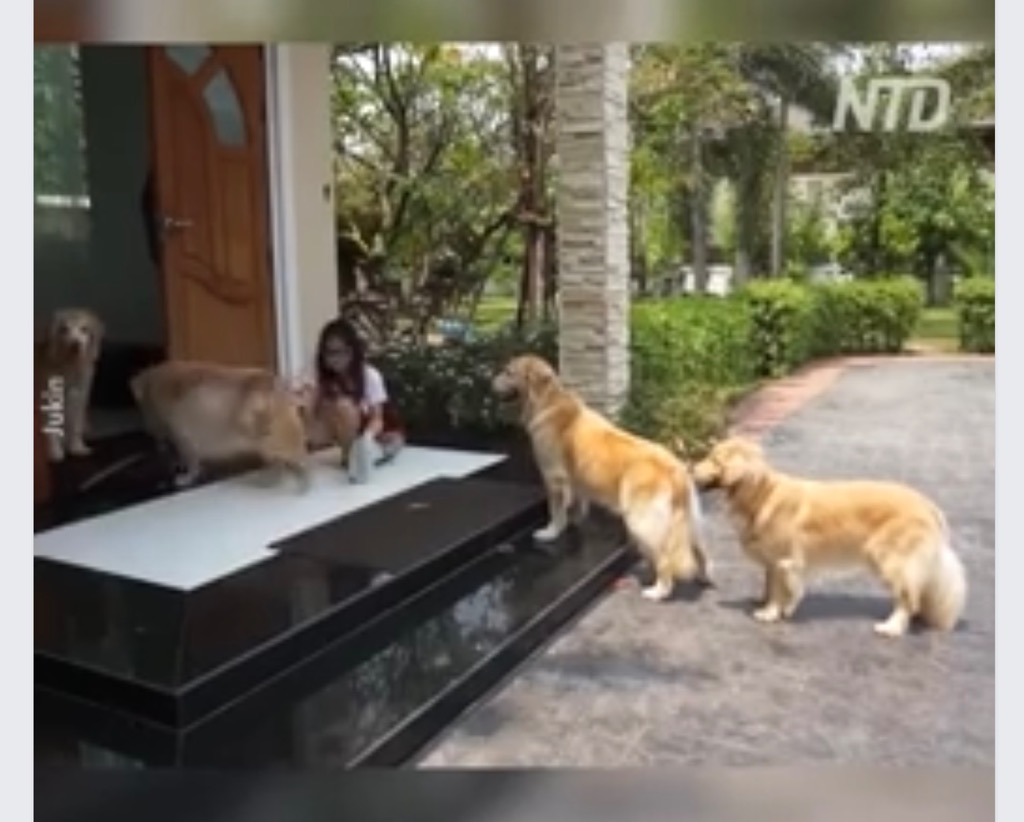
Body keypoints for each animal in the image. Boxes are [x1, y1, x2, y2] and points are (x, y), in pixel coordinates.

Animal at [37, 308, 104, 462]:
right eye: (63, 329)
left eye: (84, 329)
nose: (75, 345)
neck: (70, 365)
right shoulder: (49, 402)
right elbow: (51, 429)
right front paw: (54, 451)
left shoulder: (79, 398)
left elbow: (76, 426)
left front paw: (77, 447)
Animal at [130, 360, 311, 491]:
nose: (148, 431)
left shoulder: (184, 439)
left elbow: (192, 464)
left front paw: (185, 477)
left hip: (274, 442)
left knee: (295, 456)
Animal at [492, 354, 713, 601]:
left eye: (509, 372)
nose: (490, 383)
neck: (548, 400)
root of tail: (675, 468)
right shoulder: (575, 480)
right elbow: (577, 504)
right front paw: (575, 520)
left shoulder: (554, 478)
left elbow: (556, 511)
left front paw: (550, 532)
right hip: (689, 522)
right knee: (702, 552)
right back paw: (704, 577)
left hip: (642, 522)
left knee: (665, 559)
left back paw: (658, 591)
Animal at [691, 436, 967, 637]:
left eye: (713, 459)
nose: (691, 468)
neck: (762, 494)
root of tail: (929, 505)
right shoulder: (772, 562)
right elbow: (769, 584)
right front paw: (764, 601)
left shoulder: (785, 561)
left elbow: (780, 589)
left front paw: (770, 612)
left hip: (888, 558)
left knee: (906, 598)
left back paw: (892, 627)